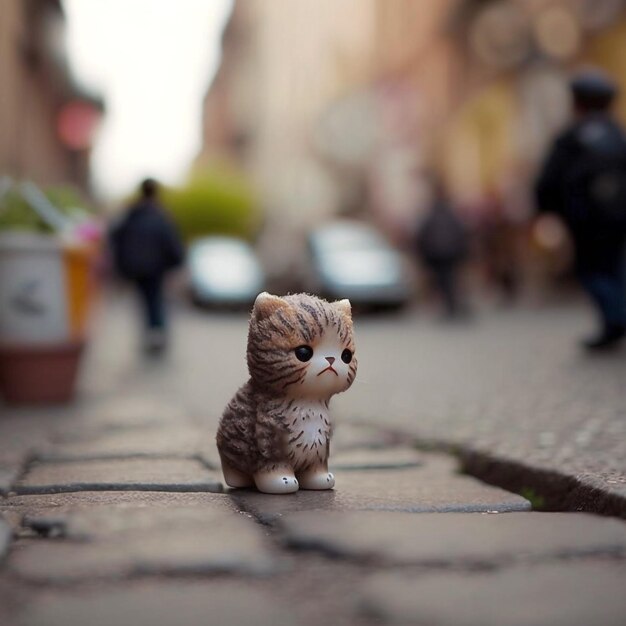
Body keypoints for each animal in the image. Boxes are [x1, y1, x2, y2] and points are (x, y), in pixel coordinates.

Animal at [217, 292, 356, 492]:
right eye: (303, 352)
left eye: (346, 356)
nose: (331, 359)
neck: (308, 404)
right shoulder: (268, 444)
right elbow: (273, 467)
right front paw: (282, 481)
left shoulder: (320, 448)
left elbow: (315, 468)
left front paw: (321, 479)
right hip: (231, 450)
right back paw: (238, 481)